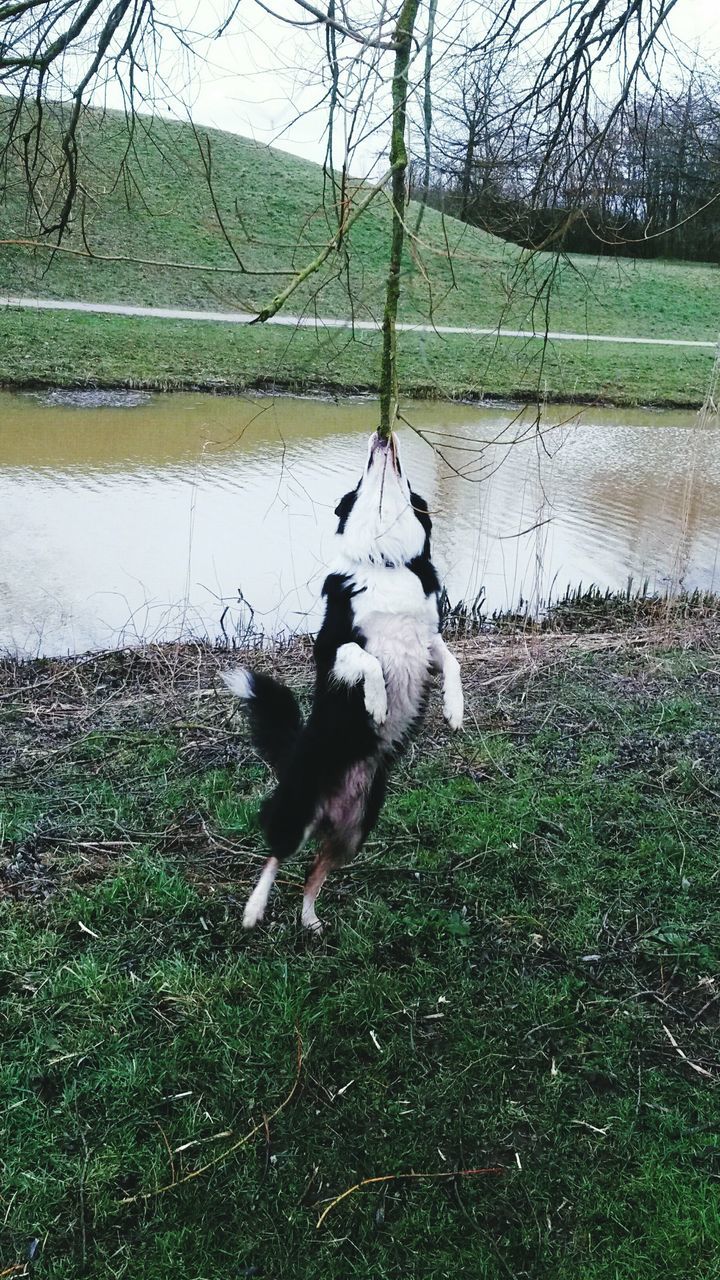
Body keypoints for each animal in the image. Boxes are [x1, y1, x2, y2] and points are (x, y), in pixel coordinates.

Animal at [221, 430, 461, 931]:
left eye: (403, 478)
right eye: (365, 473)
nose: (383, 436)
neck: (386, 562)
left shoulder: (427, 639)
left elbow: (452, 661)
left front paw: (455, 710)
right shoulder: (333, 646)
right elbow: (365, 660)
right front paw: (377, 704)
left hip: (356, 833)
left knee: (313, 872)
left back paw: (310, 920)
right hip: (296, 812)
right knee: (276, 856)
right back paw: (254, 909)